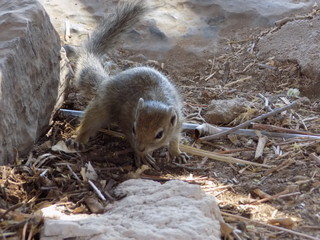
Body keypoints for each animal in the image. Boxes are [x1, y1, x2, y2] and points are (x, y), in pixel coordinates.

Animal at [73, 0, 189, 169]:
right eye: (134, 128)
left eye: (159, 134)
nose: (141, 147)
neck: (155, 99)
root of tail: (107, 81)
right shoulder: (126, 118)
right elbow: (130, 137)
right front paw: (141, 154)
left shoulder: (177, 123)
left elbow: (175, 139)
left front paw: (177, 153)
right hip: (101, 106)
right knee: (89, 120)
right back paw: (79, 139)